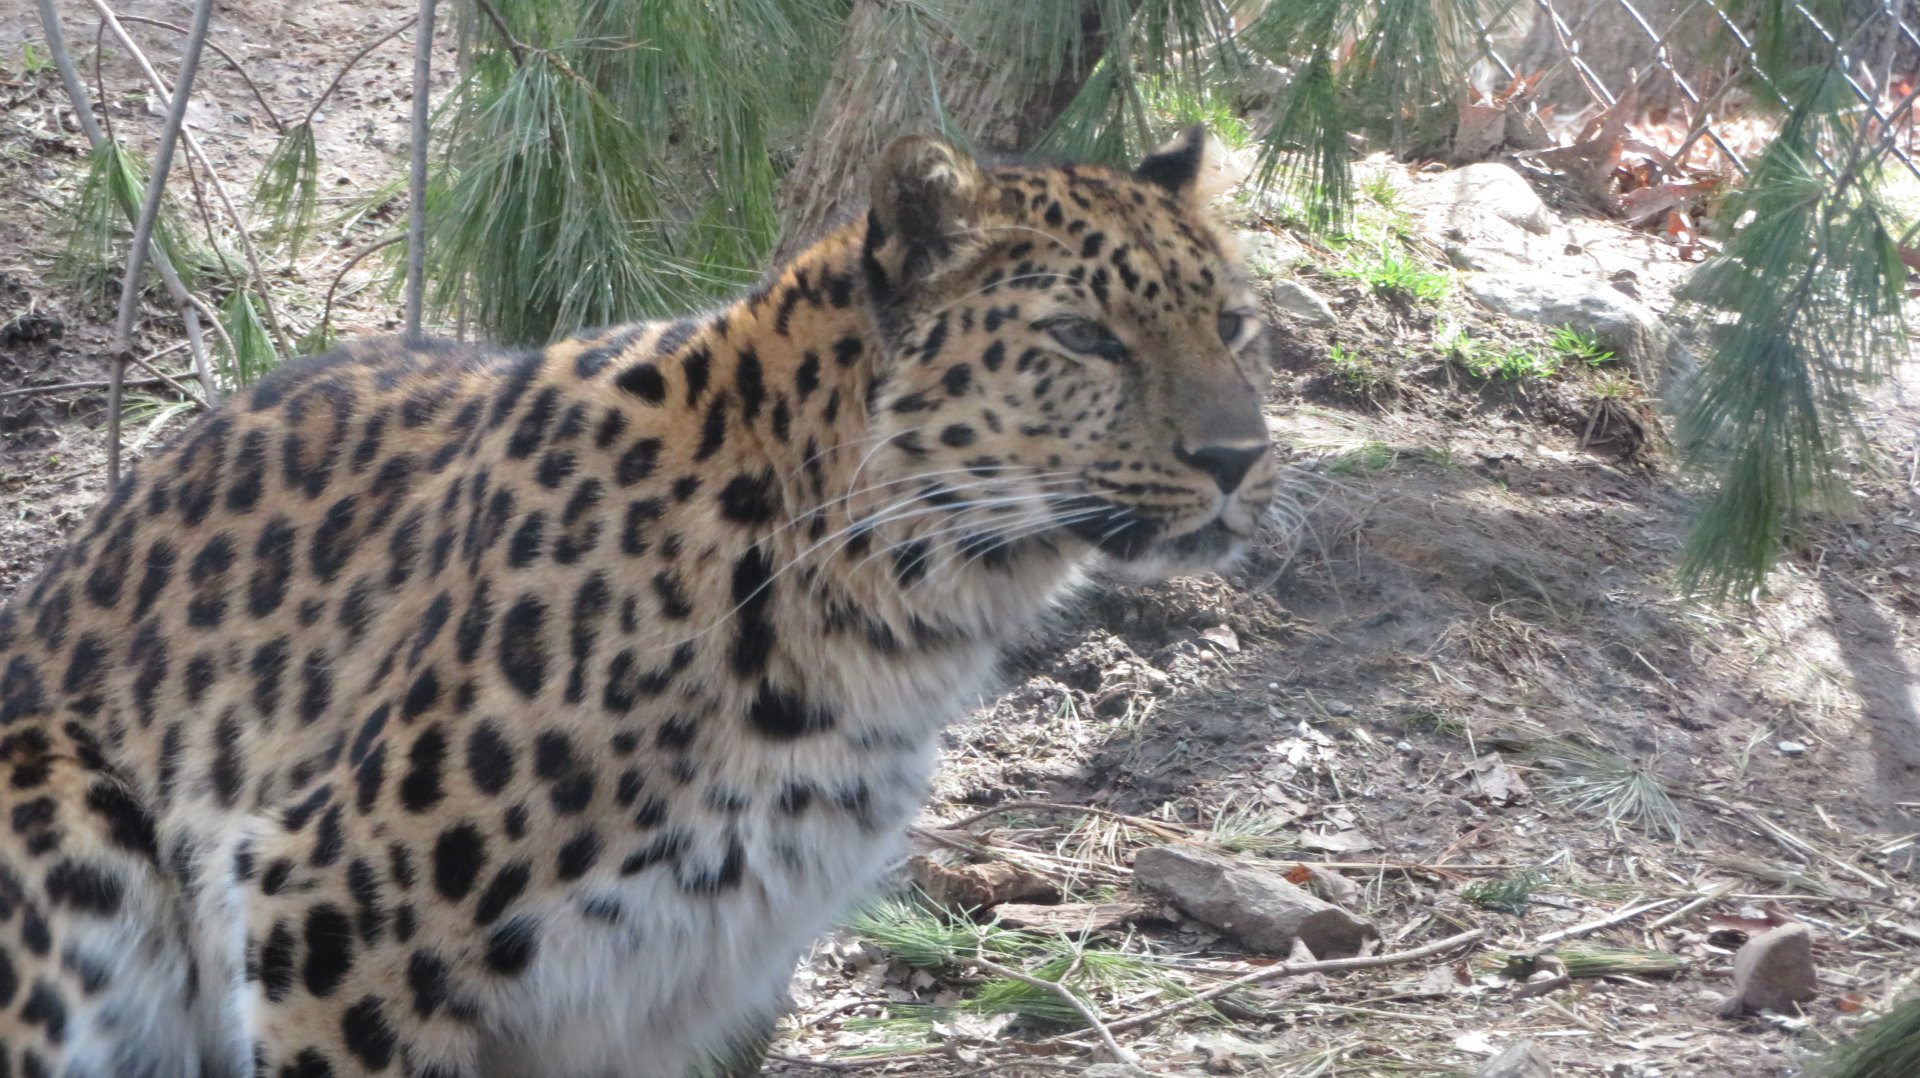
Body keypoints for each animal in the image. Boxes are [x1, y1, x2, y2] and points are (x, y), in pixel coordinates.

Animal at [0, 126, 1277, 1077]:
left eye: (1231, 323)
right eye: (1083, 337)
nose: (1241, 458)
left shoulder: (680, 985)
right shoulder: (326, 913)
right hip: (65, 813)